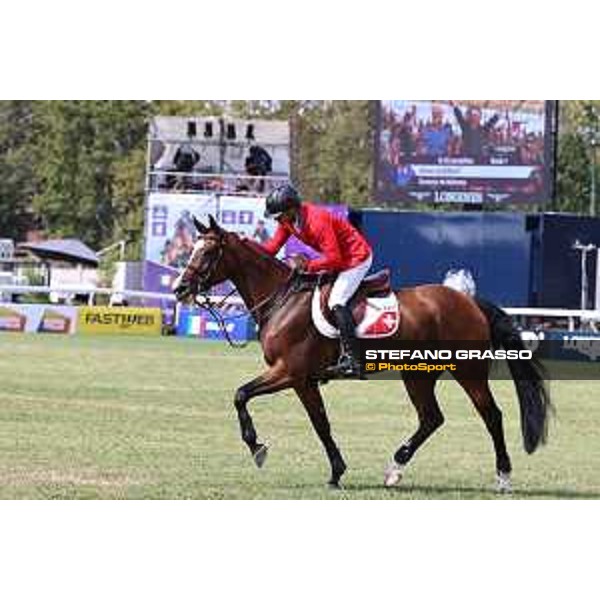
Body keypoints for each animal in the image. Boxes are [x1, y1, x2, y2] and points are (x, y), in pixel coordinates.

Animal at [171, 216, 552, 492]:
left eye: (208, 253)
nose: (179, 289)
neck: (282, 298)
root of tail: (469, 301)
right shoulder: (304, 381)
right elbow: (320, 423)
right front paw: (336, 472)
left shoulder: (288, 372)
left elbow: (241, 394)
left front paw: (257, 448)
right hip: (418, 374)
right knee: (431, 418)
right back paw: (394, 469)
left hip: (467, 371)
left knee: (491, 416)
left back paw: (503, 477)